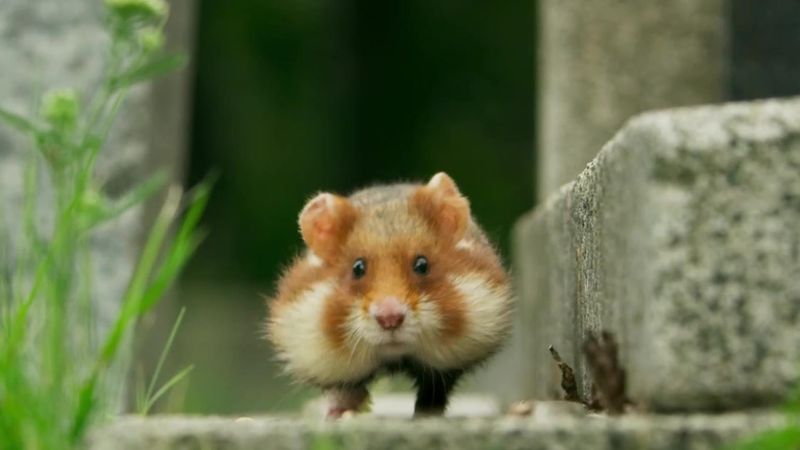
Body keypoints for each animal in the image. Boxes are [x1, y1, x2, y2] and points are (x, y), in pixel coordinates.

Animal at [266, 173, 510, 418]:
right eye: (358, 268)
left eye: (422, 265)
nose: (390, 319)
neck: (394, 357)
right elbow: (344, 390)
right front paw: (339, 414)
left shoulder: (445, 368)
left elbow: (432, 394)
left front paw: (423, 417)